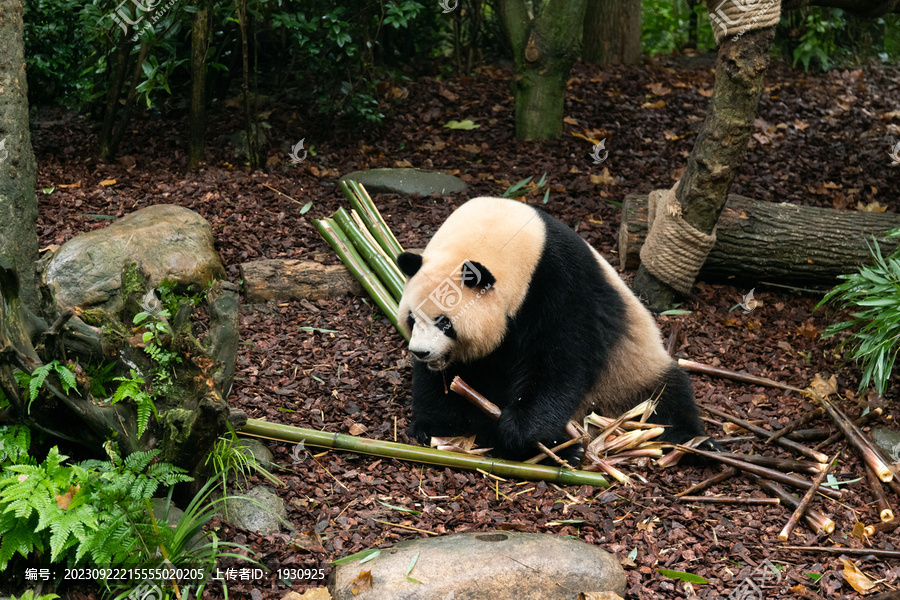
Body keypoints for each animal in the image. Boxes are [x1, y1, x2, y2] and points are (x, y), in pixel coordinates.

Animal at [394, 198, 712, 464]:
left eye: (444, 322)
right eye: (412, 318)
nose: (421, 352)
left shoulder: (560, 284)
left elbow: (560, 360)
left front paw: (520, 429)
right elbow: (444, 379)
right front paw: (433, 424)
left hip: (629, 373)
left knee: (665, 399)